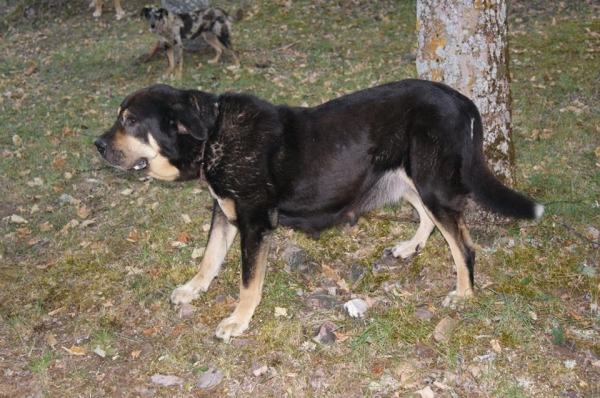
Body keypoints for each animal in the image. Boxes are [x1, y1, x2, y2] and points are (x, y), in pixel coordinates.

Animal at [94, 81, 544, 342]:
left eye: (130, 121)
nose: (96, 145)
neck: (213, 135)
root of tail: (463, 98)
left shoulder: (254, 223)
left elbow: (247, 283)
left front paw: (238, 320)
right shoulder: (224, 211)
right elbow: (209, 259)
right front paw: (193, 289)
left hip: (430, 180)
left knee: (463, 245)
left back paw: (464, 293)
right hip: (405, 175)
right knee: (428, 218)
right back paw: (410, 246)